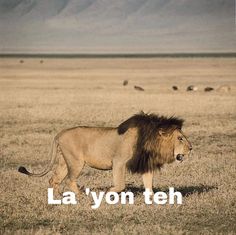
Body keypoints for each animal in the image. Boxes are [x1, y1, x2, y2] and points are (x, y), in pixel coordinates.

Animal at [18, 112, 192, 195]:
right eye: (180, 138)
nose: (191, 148)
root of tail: (59, 134)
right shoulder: (119, 162)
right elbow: (120, 184)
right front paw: (109, 192)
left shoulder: (144, 164)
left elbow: (149, 185)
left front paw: (153, 200)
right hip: (76, 162)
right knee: (69, 180)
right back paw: (81, 196)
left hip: (63, 162)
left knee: (53, 179)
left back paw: (58, 197)